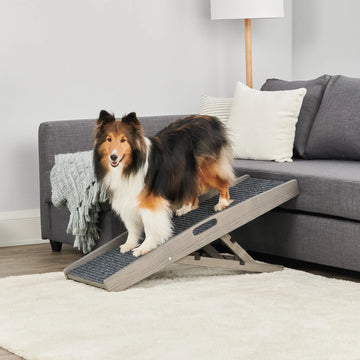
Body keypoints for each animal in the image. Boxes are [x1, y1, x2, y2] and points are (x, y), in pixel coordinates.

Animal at [93, 109, 233, 256]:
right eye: (108, 139)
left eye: (123, 140)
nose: (113, 157)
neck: (130, 167)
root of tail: (210, 119)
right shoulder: (125, 197)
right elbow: (131, 227)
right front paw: (129, 244)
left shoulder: (149, 202)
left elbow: (149, 227)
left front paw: (145, 247)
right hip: (187, 173)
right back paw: (186, 208)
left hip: (205, 169)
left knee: (223, 183)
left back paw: (222, 203)